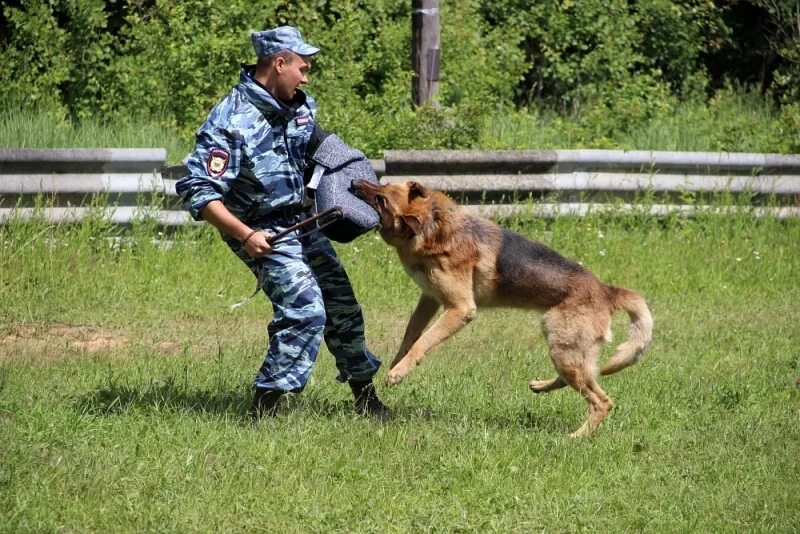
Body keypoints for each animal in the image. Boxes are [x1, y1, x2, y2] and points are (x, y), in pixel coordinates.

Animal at [354, 181, 652, 440]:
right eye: (382, 185)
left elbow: (423, 343)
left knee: (602, 401)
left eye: (381, 199)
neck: (435, 226)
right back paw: (541, 386)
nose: (354, 183)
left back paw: (576, 437)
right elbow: (411, 333)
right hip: (564, 348)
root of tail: (606, 291)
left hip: (564, 348)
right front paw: (397, 362)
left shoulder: (459, 309)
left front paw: (398, 373)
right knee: (584, 378)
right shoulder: (430, 298)